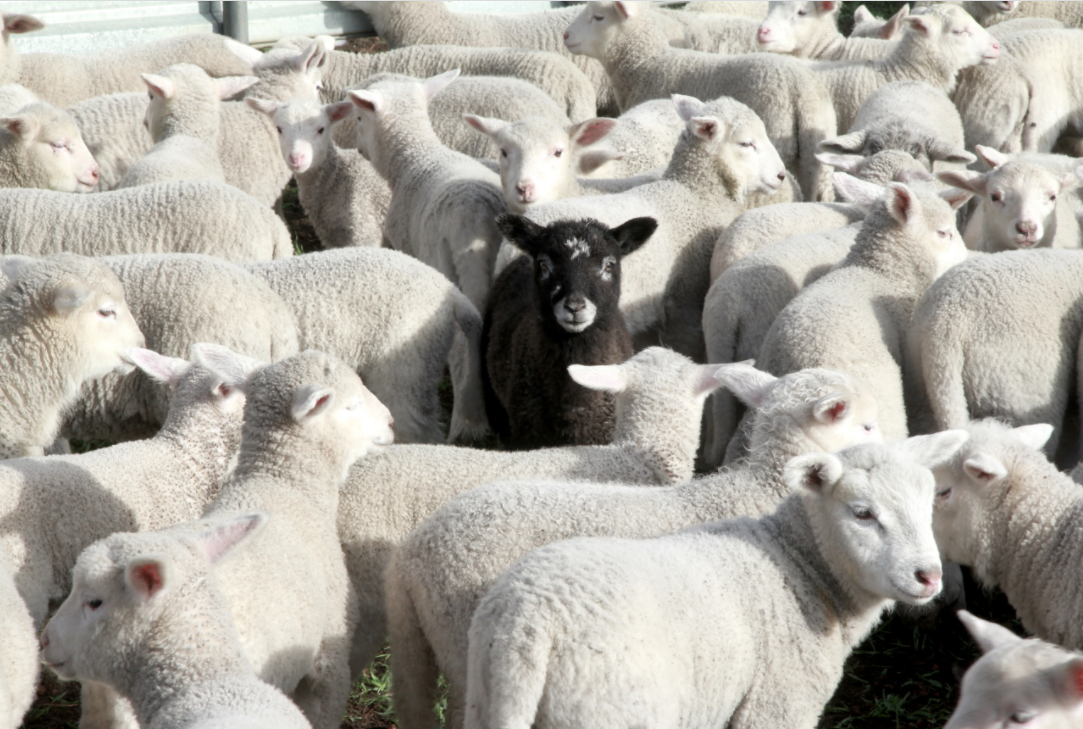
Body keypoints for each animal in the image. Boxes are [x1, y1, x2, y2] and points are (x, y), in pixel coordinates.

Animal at [346, 70, 507, 309]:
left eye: (358, 118)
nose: (359, 149)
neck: (417, 156)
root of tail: (473, 219)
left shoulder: (403, 240)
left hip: (440, 260)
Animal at [463, 434, 966, 729]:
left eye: (931, 502)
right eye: (862, 513)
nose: (929, 576)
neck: (801, 567)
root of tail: (530, 625)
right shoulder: (776, 707)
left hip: (482, 698)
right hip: (611, 711)